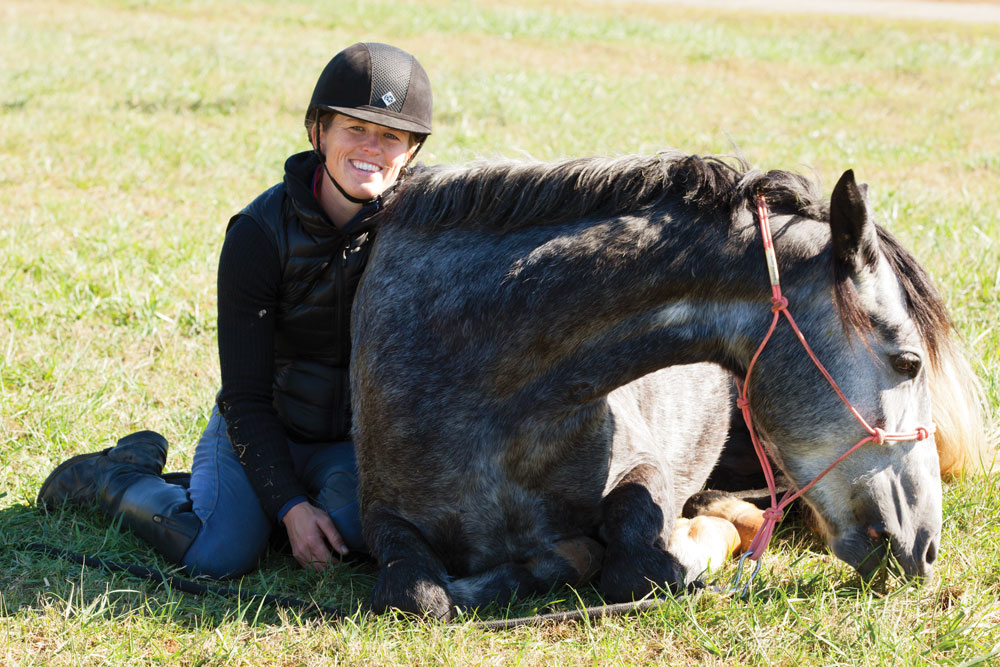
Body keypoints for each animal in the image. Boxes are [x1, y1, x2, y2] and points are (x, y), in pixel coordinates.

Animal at [350, 153, 984, 620]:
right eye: (908, 362)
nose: (926, 546)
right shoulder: (383, 516)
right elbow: (415, 595)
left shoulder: (643, 468)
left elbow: (636, 562)